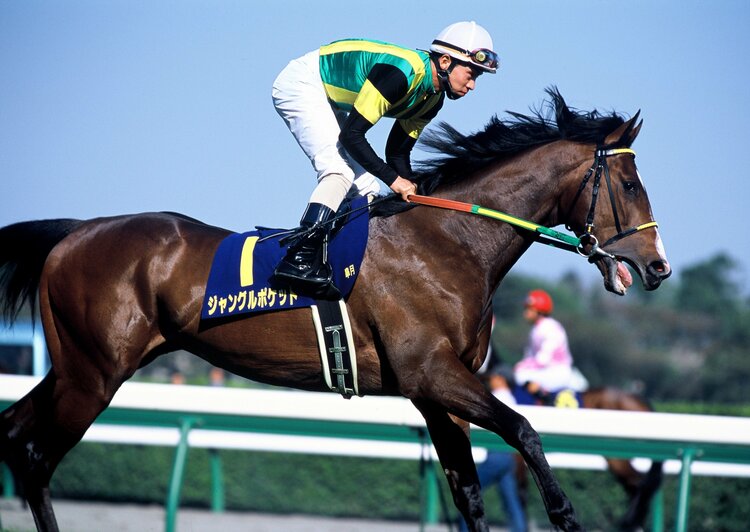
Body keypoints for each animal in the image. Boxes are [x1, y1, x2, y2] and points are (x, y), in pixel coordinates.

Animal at [0, 88, 670, 532]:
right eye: (630, 184)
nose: (659, 266)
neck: (448, 243)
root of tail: (76, 232)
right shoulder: (433, 373)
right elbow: (524, 429)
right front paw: (565, 513)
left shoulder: (436, 391)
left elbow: (469, 491)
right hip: (94, 374)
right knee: (35, 458)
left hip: (77, 368)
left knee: (13, 434)